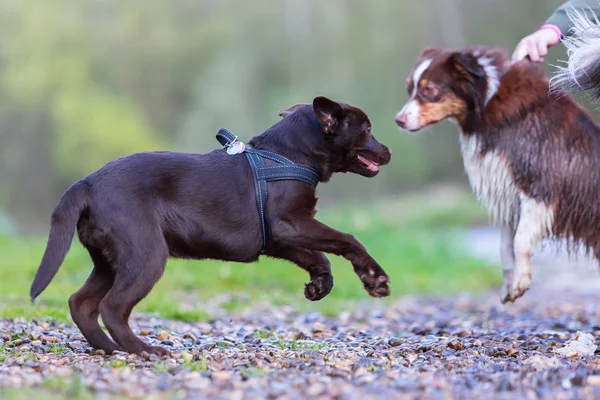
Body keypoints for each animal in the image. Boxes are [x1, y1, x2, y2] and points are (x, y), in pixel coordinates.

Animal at [394, 15, 600, 304]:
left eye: (429, 90)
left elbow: (521, 240)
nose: (398, 121)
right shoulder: (508, 196)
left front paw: (521, 282)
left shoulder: (539, 187)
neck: (487, 101)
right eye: (409, 88)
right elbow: (504, 246)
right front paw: (508, 286)